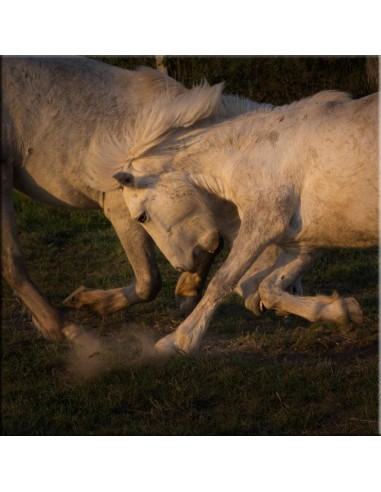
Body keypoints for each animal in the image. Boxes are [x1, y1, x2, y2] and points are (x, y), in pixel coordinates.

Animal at [0, 56, 276, 342]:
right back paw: (64, 327)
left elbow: (212, 243)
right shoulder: (122, 211)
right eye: (142, 217)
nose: (266, 306)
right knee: (12, 262)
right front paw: (90, 302)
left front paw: (187, 291)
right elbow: (150, 282)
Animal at [90, 84, 378, 356]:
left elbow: (222, 282)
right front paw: (343, 310)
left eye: (141, 216)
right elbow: (268, 289)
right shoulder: (303, 244)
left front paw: (179, 342)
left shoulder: (261, 225)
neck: (253, 153)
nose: (182, 266)